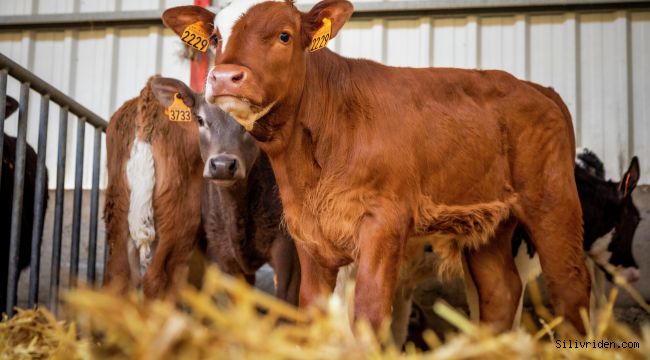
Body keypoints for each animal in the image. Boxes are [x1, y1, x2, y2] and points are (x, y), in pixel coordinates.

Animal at [162, 0, 588, 334]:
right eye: (215, 38)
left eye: (284, 35)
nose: (224, 77)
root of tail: (537, 88)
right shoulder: (306, 233)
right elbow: (313, 310)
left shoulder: (383, 222)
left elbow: (368, 312)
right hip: (489, 222)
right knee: (500, 292)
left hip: (553, 202)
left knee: (570, 287)